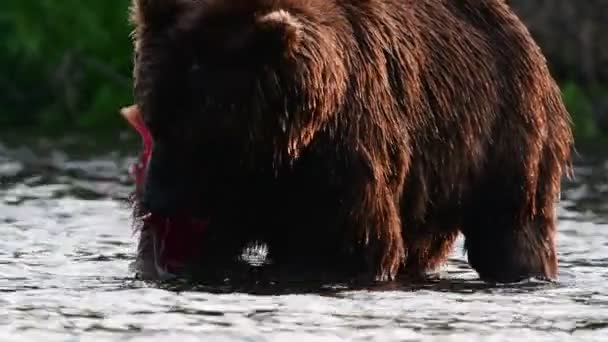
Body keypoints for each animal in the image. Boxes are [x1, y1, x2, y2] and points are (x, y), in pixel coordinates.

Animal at [124, 0, 576, 284]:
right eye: (154, 120)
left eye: (199, 130)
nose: (156, 201)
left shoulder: (343, 156)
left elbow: (346, 243)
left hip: (506, 133)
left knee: (512, 227)